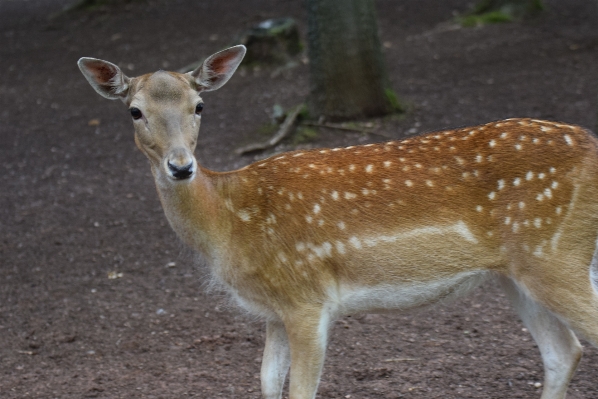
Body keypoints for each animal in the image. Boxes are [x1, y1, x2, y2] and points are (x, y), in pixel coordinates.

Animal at [78, 45, 598, 398]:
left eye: (199, 106)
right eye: (135, 110)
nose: (181, 167)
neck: (229, 223)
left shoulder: (307, 299)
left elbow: (298, 391)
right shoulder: (273, 310)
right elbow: (266, 383)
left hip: (557, 255)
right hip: (517, 273)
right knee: (563, 351)